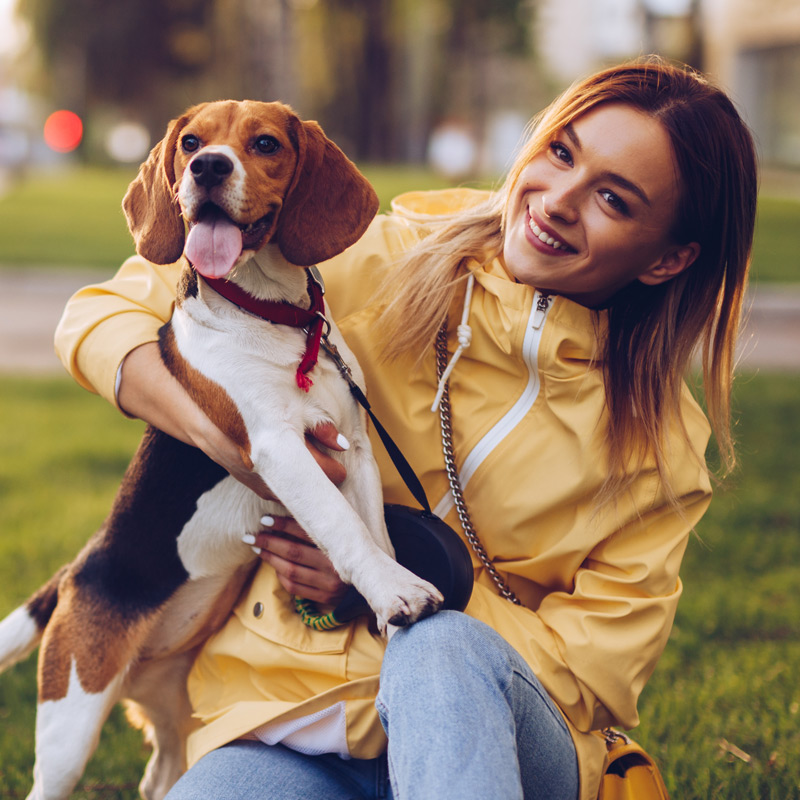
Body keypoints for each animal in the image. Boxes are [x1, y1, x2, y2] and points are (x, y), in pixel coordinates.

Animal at [0, 100, 438, 800]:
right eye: (190, 142)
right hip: (71, 719)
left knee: (160, 775)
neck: (271, 317)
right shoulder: (279, 450)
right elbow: (344, 529)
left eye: (265, 143)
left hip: (175, 714)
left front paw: (387, 601)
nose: (207, 167)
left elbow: (374, 531)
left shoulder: (355, 447)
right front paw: (394, 592)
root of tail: (76, 570)